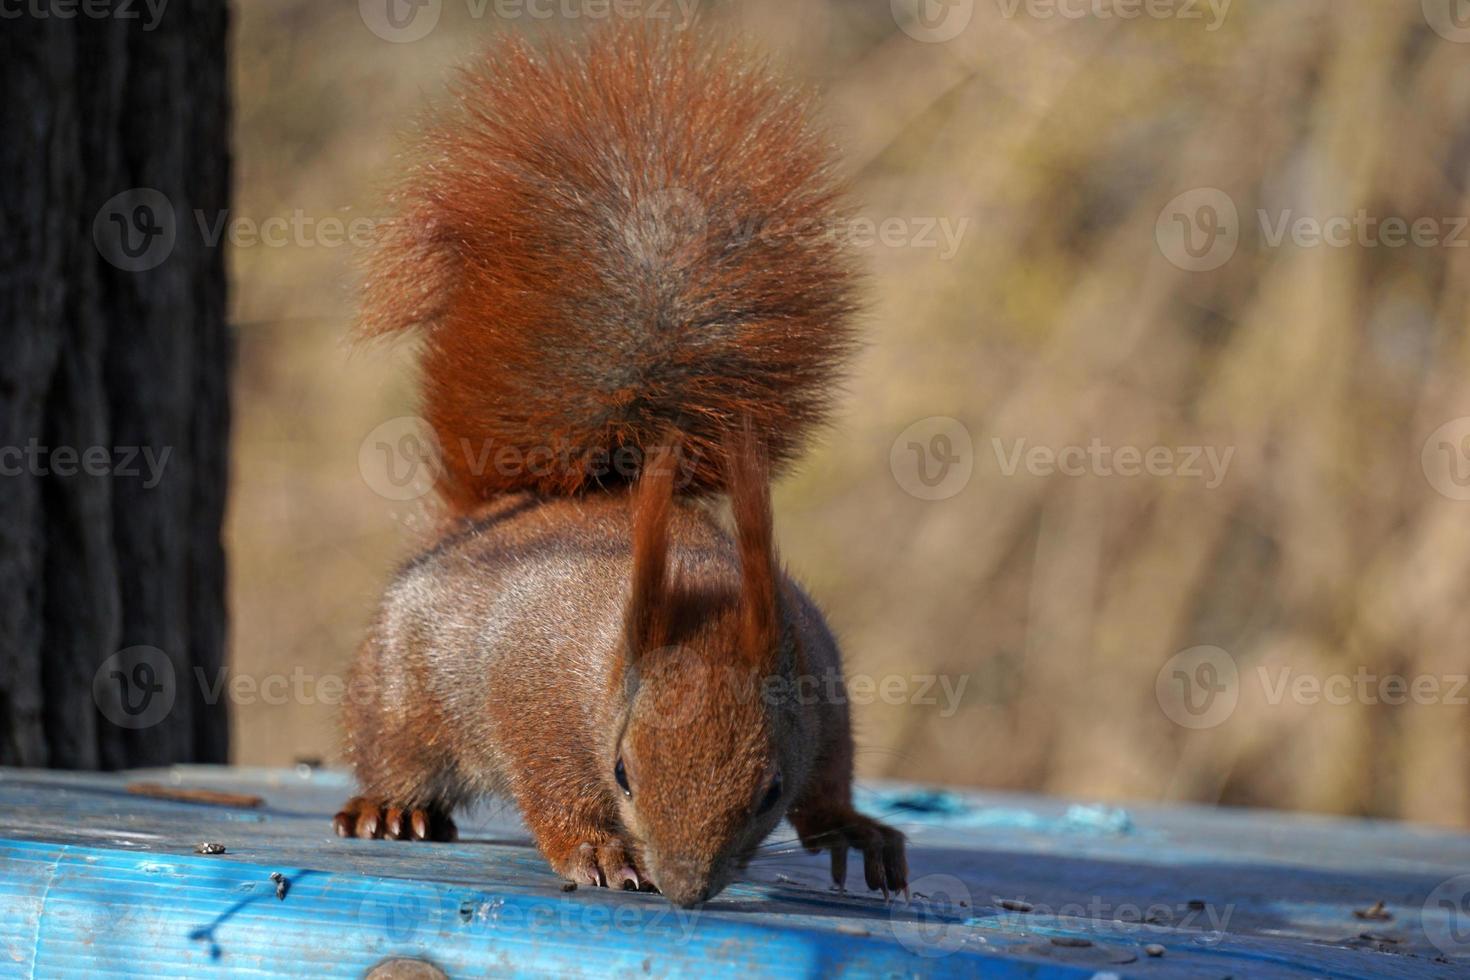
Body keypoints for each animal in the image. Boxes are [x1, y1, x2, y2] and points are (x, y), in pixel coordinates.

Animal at [335, 24, 905, 910]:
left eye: (770, 791)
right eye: (623, 772)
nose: (685, 891)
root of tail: (492, 511)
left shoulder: (824, 689)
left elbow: (831, 778)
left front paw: (853, 828)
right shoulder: (532, 704)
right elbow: (551, 787)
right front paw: (595, 850)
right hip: (403, 683)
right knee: (393, 744)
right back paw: (387, 806)